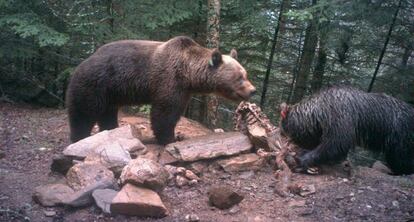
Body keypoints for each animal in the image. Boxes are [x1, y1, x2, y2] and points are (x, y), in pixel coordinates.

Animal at [65, 35, 256, 145]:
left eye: (246, 74)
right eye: (239, 77)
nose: (253, 90)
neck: (189, 74)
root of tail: (81, 64)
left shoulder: (184, 90)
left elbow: (175, 111)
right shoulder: (169, 80)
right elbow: (165, 112)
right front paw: (170, 138)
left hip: (110, 92)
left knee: (107, 112)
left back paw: (111, 129)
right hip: (95, 84)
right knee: (83, 112)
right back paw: (79, 136)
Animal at [278, 86, 414, 174]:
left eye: (285, 131)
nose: (282, 137)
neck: (320, 112)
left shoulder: (340, 118)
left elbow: (336, 144)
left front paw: (304, 159)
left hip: (401, 136)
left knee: (402, 158)